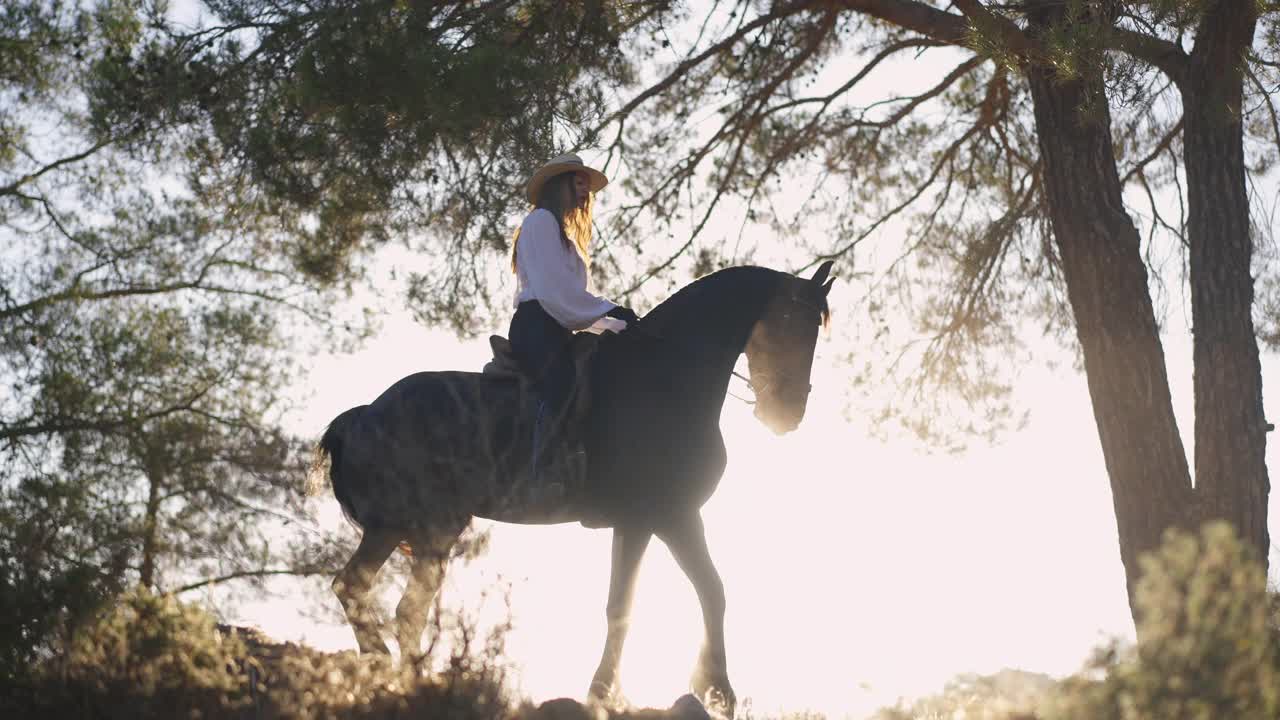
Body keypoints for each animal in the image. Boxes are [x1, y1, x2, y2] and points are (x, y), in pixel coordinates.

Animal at [305, 257, 834, 712]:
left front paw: (707, 688)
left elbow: (694, 593)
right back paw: (385, 667)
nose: (788, 413)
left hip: (424, 531)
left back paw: (406, 677)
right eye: (793, 320)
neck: (665, 379)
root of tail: (362, 416)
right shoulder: (658, 518)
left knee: (397, 605)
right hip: (407, 527)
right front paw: (624, 691)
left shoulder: (662, 520)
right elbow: (645, 602)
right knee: (362, 591)